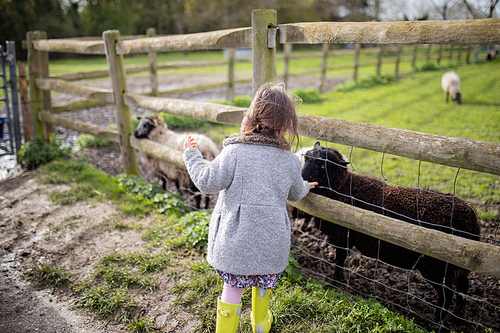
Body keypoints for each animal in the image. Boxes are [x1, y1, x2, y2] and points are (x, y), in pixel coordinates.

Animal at [300, 141, 480, 320]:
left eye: (322, 165)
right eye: (306, 157)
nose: (300, 176)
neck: (343, 188)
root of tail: (470, 216)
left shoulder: (342, 236)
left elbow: (339, 262)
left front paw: (334, 284)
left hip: (436, 265)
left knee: (447, 294)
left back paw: (437, 320)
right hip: (457, 265)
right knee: (463, 287)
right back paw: (458, 314)